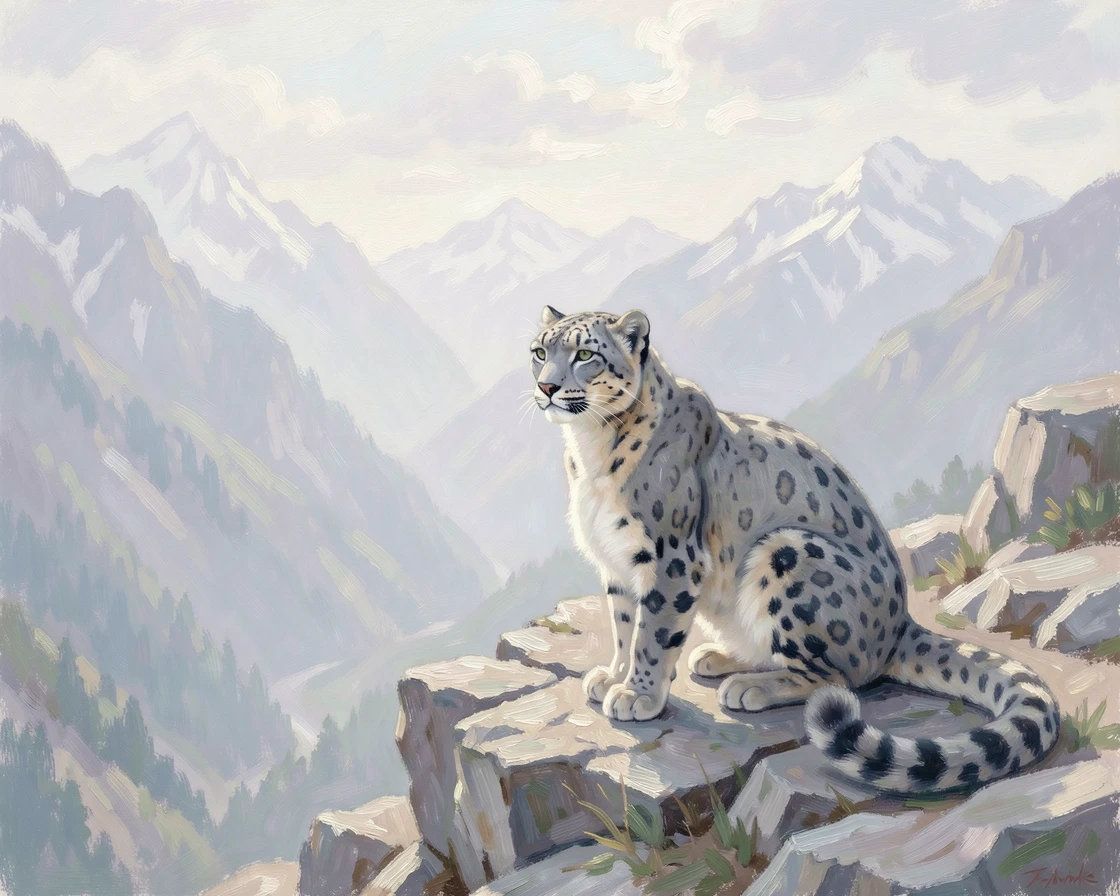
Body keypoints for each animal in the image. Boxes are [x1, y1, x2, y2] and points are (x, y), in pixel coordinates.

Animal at [529, 305, 1059, 793]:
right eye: (539, 351)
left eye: (584, 355)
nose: (547, 387)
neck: (589, 451)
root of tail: (899, 624)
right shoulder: (618, 564)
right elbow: (623, 625)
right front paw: (612, 676)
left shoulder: (670, 558)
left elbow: (652, 633)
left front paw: (637, 695)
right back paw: (720, 657)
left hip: (787, 554)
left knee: (837, 676)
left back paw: (749, 687)